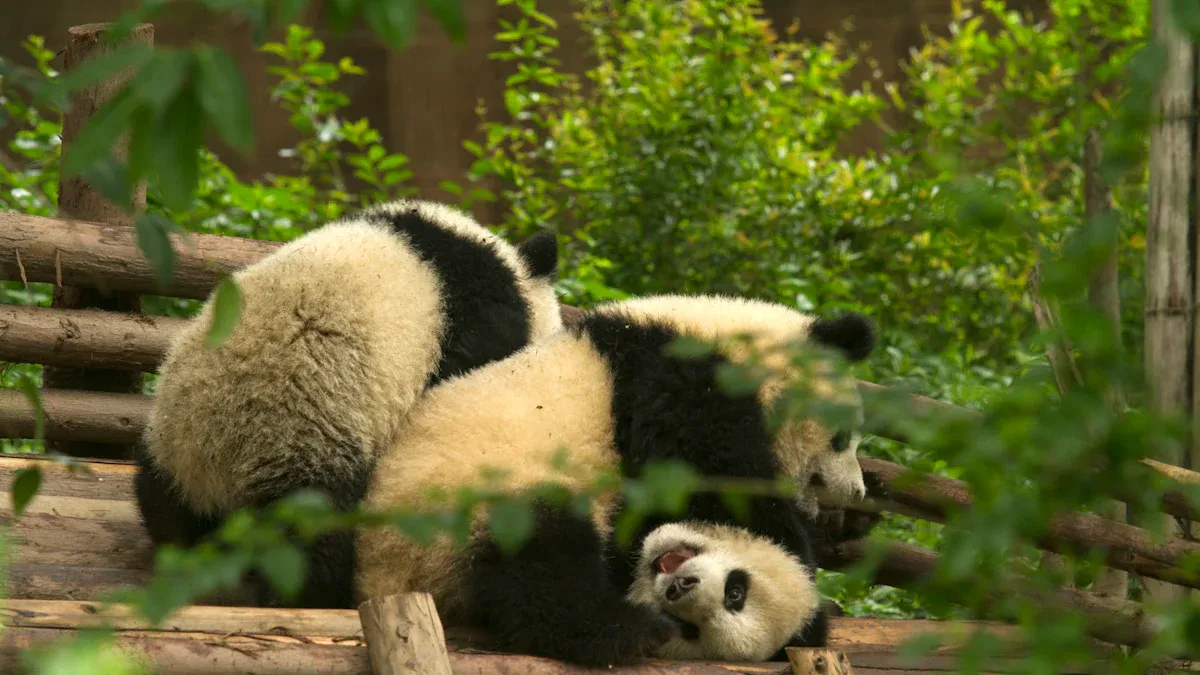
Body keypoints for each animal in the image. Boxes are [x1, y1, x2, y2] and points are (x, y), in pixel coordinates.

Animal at [134, 199, 563, 609]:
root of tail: (207, 474)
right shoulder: (476, 323)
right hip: (298, 436)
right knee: (315, 531)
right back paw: (310, 594)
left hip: (167, 439)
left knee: (161, 506)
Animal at [356, 292, 875, 665]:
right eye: (841, 437)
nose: (857, 491)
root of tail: (379, 577)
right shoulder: (678, 382)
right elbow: (709, 477)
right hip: (459, 504)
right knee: (541, 559)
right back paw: (622, 629)